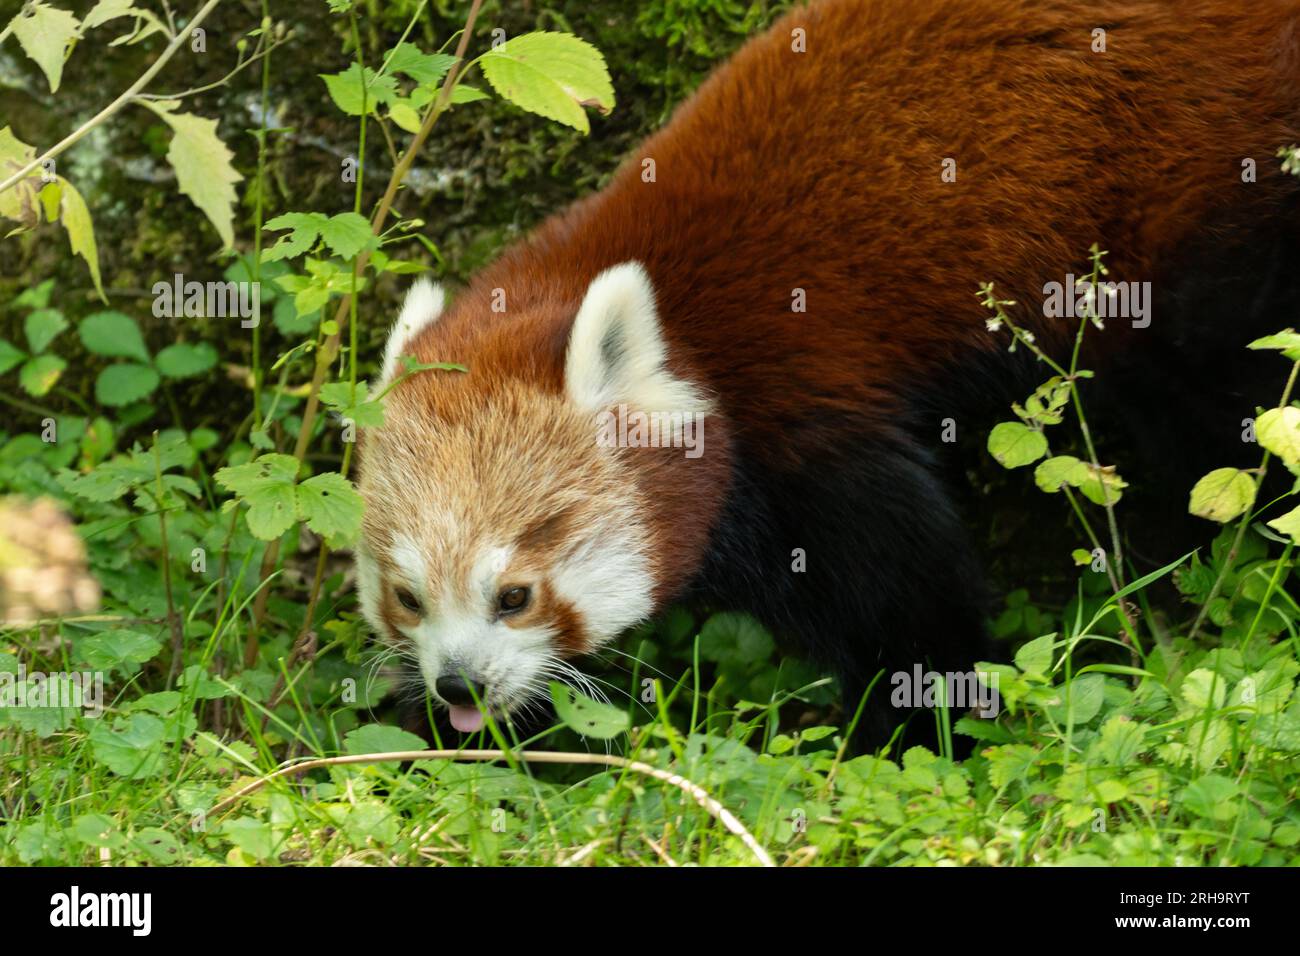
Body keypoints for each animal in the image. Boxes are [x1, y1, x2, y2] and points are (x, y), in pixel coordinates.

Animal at [356, 0, 1300, 738]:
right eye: (407, 597)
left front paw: (925, 729)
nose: (457, 683)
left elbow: (906, 602)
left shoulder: (807, 424)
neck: (687, 334)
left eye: (514, 596)